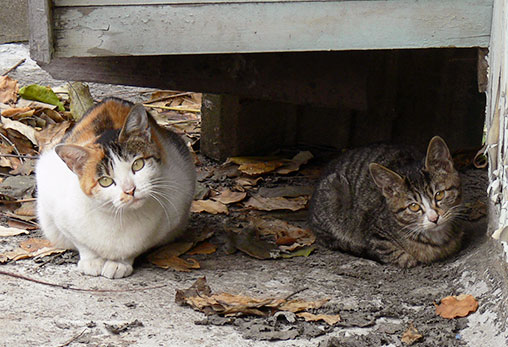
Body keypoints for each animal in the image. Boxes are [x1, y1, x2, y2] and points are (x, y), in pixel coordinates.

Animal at [36, 98, 195, 280]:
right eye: (105, 181)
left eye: (138, 165)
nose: (130, 190)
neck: (118, 217)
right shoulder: (57, 209)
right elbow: (82, 244)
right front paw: (92, 261)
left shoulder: (180, 198)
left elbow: (135, 247)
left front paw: (119, 263)